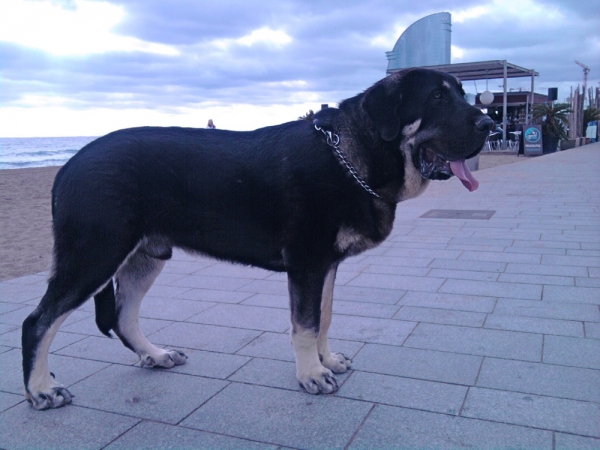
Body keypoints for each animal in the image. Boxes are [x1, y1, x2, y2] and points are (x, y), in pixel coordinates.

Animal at [22, 68, 492, 410]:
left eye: (463, 94)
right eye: (436, 99)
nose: (490, 123)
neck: (352, 155)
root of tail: (69, 164)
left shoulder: (326, 265)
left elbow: (324, 318)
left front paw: (325, 361)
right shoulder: (306, 263)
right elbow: (305, 325)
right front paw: (310, 375)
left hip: (145, 256)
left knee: (123, 316)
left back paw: (154, 355)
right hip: (94, 255)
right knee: (38, 322)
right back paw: (41, 389)